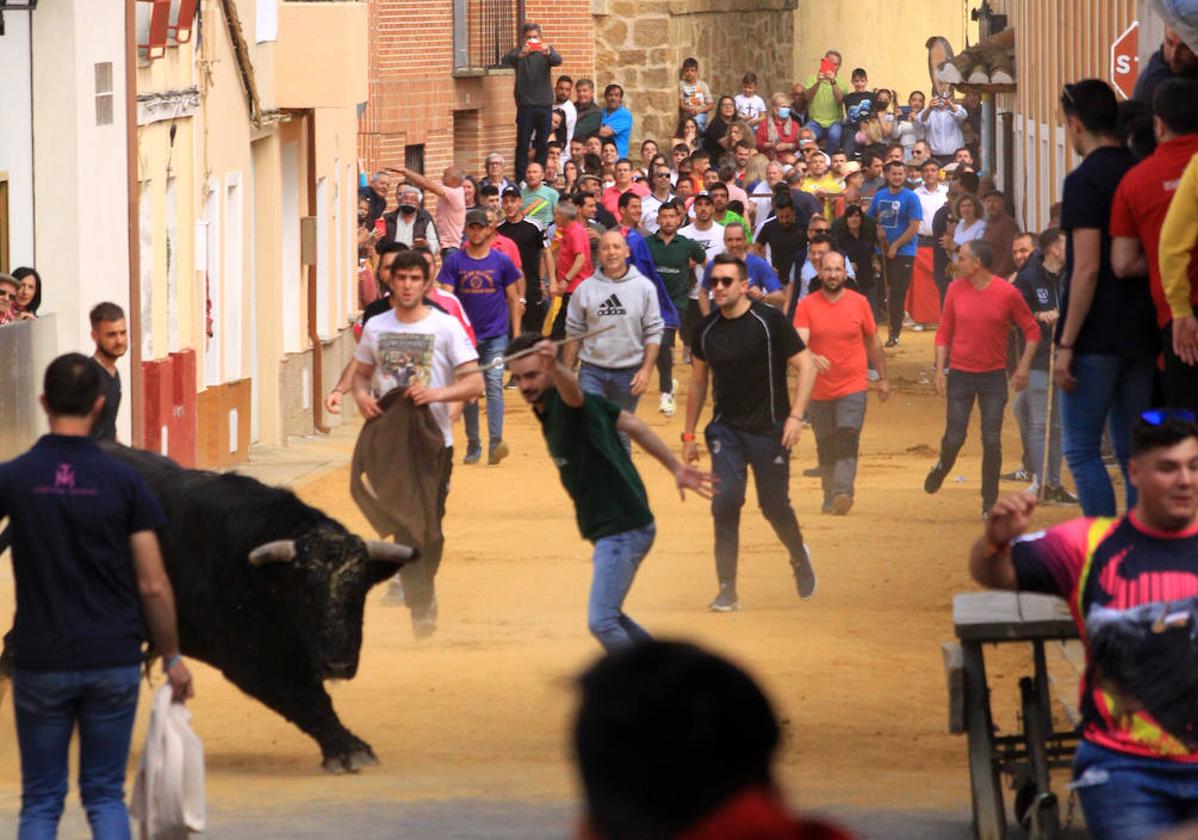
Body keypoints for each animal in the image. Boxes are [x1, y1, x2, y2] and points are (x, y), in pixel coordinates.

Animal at [0, 445, 419, 771]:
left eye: (358, 592)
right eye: (305, 592)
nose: (337, 663)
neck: (264, 577)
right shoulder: (248, 659)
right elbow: (305, 696)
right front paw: (348, 749)